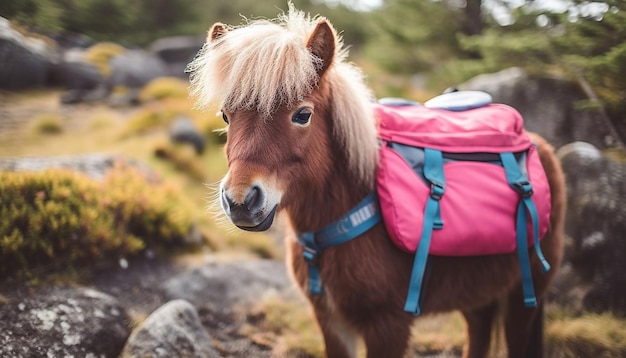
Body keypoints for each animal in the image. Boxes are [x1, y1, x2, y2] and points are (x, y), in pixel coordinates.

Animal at [188, 6, 564, 358]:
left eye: (302, 114)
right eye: (226, 116)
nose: (240, 200)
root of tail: (537, 144)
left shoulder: (388, 327)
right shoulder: (332, 324)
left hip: (523, 297)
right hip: (478, 293)